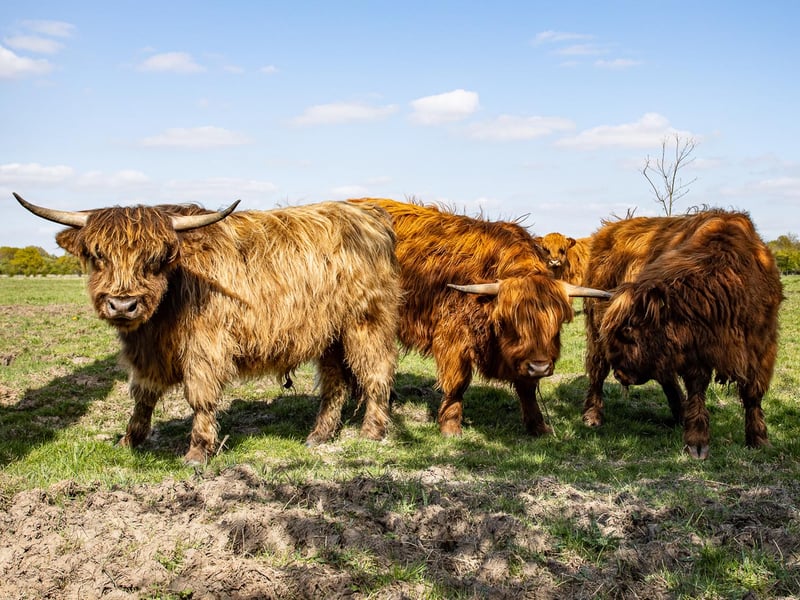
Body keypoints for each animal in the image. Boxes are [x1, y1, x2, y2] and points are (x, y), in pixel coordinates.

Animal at [14, 193, 401, 464]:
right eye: (98, 256)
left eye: (156, 259)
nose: (123, 305)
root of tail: (370, 215)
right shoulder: (148, 352)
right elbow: (143, 396)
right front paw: (129, 440)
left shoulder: (205, 346)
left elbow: (200, 397)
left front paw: (198, 452)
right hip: (330, 336)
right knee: (335, 384)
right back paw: (319, 436)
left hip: (367, 323)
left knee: (376, 374)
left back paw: (372, 432)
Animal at [350, 198, 611, 437]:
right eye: (510, 322)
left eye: (557, 324)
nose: (540, 367)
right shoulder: (454, 339)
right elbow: (457, 384)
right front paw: (451, 427)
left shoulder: (522, 357)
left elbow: (527, 388)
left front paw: (538, 426)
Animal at [581, 209, 783, 459]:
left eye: (629, 329)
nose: (620, 375)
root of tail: (610, 228)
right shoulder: (695, 353)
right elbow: (697, 390)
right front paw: (697, 443)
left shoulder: (762, 347)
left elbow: (753, 394)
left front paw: (759, 439)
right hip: (595, 331)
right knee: (597, 370)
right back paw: (592, 416)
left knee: (665, 377)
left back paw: (679, 413)